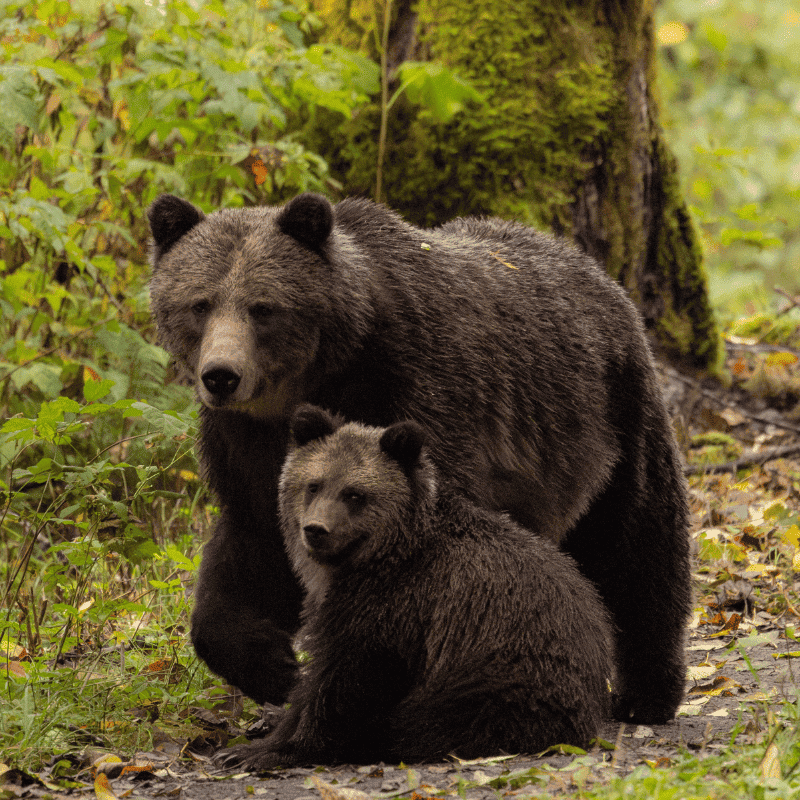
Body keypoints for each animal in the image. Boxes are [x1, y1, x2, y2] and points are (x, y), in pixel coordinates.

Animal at [147, 191, 691, 724]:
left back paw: (646, 693)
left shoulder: (416, 385)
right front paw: (272, 665)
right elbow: (253, 546)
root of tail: (593, 268)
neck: (312, 380)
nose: (221, 375)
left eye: (262, 307)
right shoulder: (247, 443)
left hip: (610, 415)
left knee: (640, 541)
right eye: (200, 304)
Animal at [219, 404, 614, 770]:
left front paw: (277, 750)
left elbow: (347, 684)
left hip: (499, 677)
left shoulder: (397, 610)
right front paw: (252, 744)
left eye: (354, 494)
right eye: (313, 485)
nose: (316, 530)